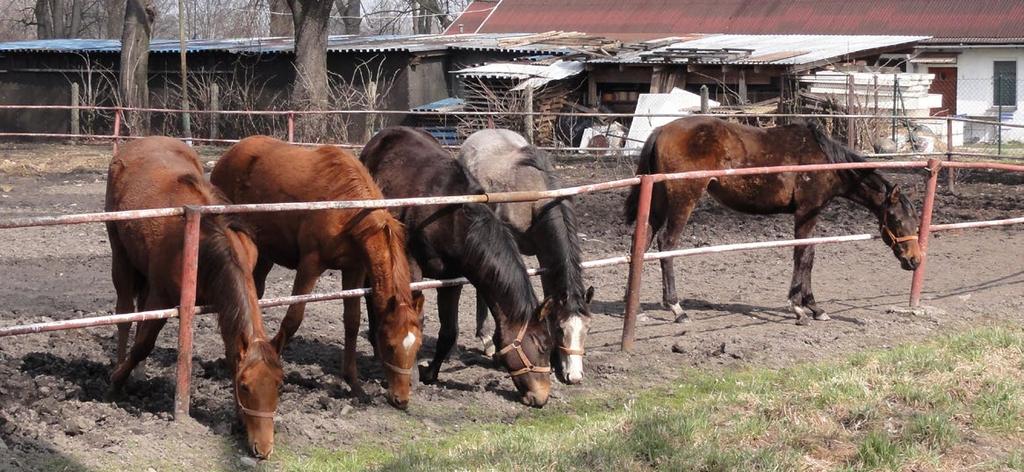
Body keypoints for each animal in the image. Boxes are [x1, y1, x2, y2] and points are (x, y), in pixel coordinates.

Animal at [105, 135, 282, 456]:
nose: (263, 449)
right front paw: (116, 381)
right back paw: (120, 368)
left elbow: (231, 353)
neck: (207, 242)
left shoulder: (224, 306)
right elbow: (143, 344)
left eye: (279, 384)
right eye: (246, 386)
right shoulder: (163, 297)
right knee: (125, 313)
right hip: (120, 256)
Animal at [210, 135, 423, 407]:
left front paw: (354, 384)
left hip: (264, 254)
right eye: (389, 345)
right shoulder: (310, 265)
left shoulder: (353, 269)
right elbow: (293, 319)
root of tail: (229, 155)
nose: (401, 399)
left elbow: (352, 321)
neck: (348, 210)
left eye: (416, 346)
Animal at [358, 126, 557, 407]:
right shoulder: (412, 267)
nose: (541, 398)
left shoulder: (452, 277)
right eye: (541, 345)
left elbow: (449, 331)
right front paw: (412, 376)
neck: (451, 215)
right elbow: (413, 319)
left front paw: (430, 373)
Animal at [460, 127, 598, 382]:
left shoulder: (547, 257)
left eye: (588, 328)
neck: (537, 201)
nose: (574, 376)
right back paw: (486, 340)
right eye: (561, 329)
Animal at [618, 116, 925, 325]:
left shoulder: (811, 213)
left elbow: (809, 255)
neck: (824, 160)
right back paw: (676, 308)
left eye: (915, 220)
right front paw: (800, 308)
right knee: (666, 244)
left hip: (657, 201)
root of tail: (660, 131)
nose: (914, 260)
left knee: (641, 241)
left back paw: (633, 306)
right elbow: (803, 255)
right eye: (896, 219)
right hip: (683, 199)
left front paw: (814, 307)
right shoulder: (806, 211)